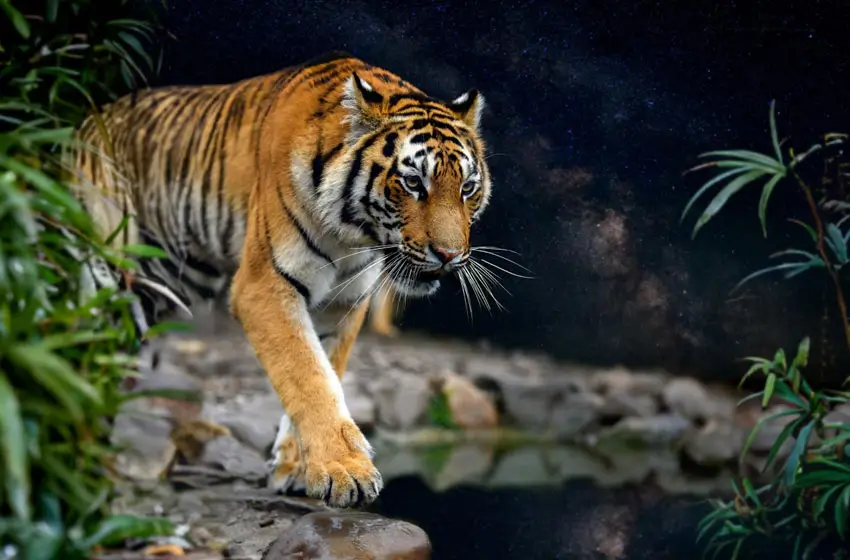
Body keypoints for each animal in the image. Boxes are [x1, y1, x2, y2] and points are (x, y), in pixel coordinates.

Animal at [71, 51, 493, 509]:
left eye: (467, 188)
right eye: (413, 182)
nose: (450, 255)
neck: (352, 233)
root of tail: (87, 120)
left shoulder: (342, 302)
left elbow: (326, 371)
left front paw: (297, 468)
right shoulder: (264, 286)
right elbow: (306, 374)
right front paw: (345, 470)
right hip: (108, 276)